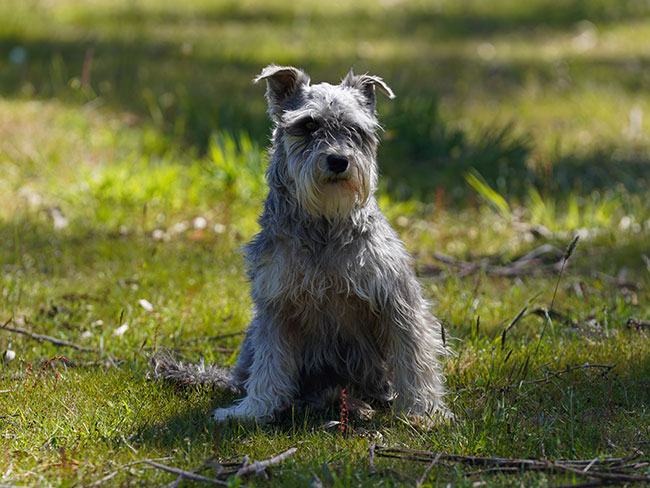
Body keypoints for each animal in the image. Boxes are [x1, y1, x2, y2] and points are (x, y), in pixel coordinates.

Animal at [153, 65, 448, 424]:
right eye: (308, 125)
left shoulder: (396, 300)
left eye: (355, 129)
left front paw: (424, 411)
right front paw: (255, 409)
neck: (324, 225)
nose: (338, 161)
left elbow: (414, 360)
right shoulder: (276, 305)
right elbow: (270, 362)